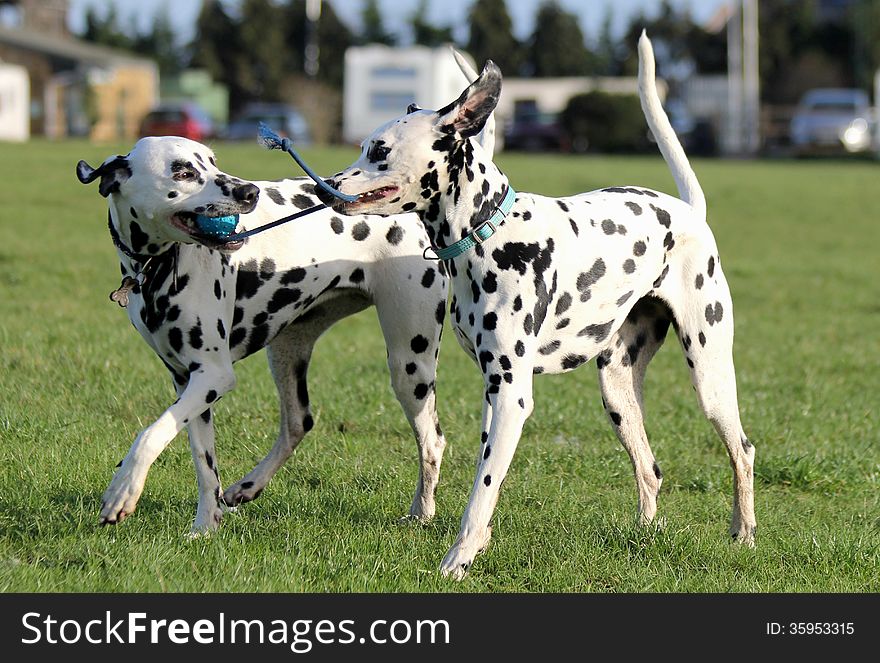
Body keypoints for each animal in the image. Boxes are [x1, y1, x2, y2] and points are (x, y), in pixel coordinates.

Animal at [324, 33, 756, 580]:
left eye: (378, 150)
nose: (324, 184)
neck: (488, 230)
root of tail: (689, 212)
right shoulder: (493, 392)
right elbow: (485, 476)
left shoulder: (512, 396)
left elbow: (481, 493)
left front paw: (459, 557)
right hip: (618, 394)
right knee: (650, 469)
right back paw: (646, 531)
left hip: (710, 377)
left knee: (742, 450)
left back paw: (744, 532)